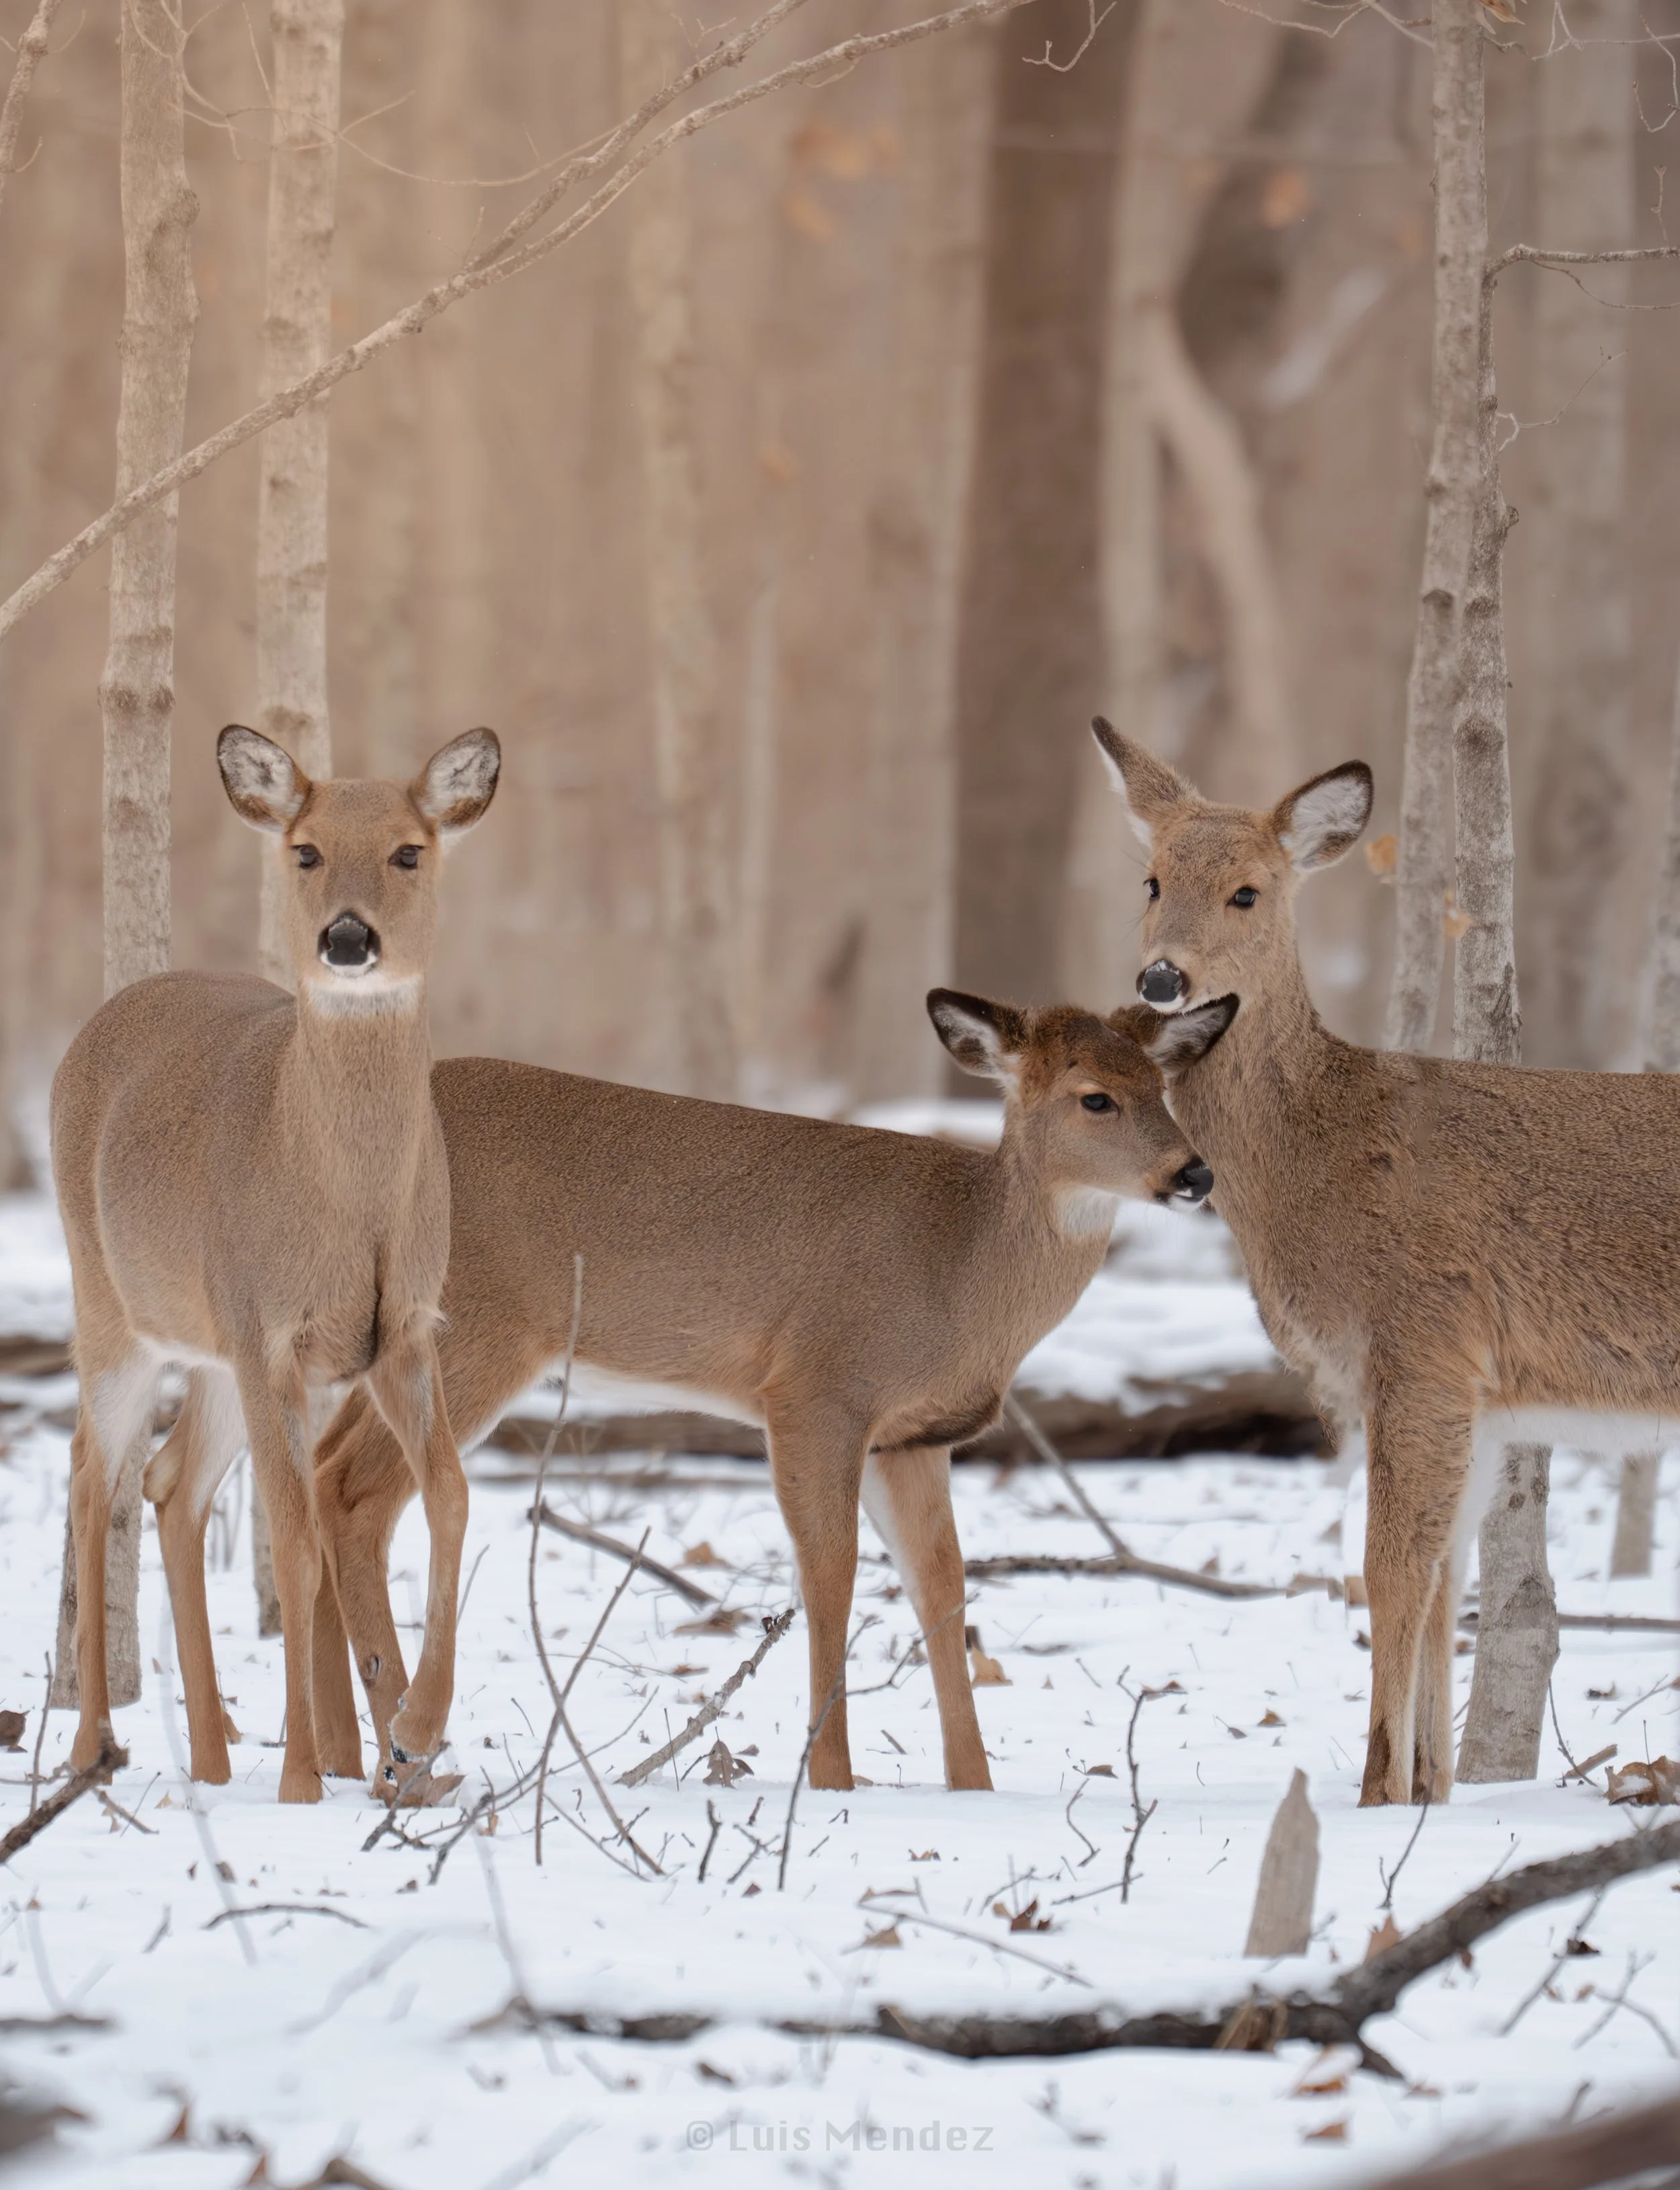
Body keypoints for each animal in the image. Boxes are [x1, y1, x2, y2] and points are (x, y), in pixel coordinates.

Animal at [51, 724, 500, 1802]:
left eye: (409, 850)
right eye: (304, 849)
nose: (347, 939)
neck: (350, 1204)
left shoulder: (402, 1331)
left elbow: (452, 1496)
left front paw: (415, 1734)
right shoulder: (271, 1332)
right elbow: (295, 1542)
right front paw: (303, 1781)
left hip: (215, 1350)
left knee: (172, 1486)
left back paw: (214, 1753)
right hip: (115, 1310)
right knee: (92, 1478)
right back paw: (93, 1743)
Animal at [306, 989, 1232, 1797]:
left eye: (1162, 1085)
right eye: (1094, 1098)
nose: (1195, 1174)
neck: (960, 1264)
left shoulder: (913, 1437)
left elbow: (941, 1584)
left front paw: (973, 1788)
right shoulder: (818, 1388)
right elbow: (831, 1570)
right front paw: (834, 1781)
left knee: (319, 1467)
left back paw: (338, 1761)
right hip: (472, 1327)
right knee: (363, 1489)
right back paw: (406, 1753)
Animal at [1093, 717, 1680, 1807]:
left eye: (1249, 890)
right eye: (1150, 879)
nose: (1161, 980)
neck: (1321, 1153)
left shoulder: (1424, 1344)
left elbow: (1390, 1571)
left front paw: (1373, 1795)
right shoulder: (1469, 1395)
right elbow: (1448, 1581)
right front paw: (1428, 1795)